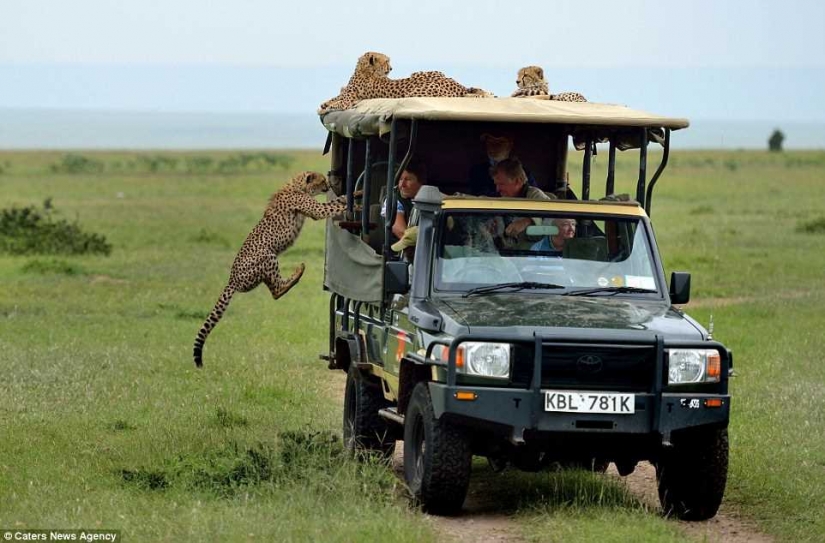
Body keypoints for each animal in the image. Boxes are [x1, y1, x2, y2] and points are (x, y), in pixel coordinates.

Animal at [193, 171, 354, 367]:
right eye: (322, 180)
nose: (328, 186)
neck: (297, 186)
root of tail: (231, 281)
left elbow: (335, 202)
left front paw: (351, 195)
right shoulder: (316, 210)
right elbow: (333, 205)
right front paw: (352, 199)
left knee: (274, 290)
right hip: (267, 255)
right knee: (277, 291)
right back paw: (297, 272)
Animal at [318, 51, 492, 114]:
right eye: (386, 61)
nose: (391, 68)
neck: (364, 70)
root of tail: (457, 84)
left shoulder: (349, 100)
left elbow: (339, 102)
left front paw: (325, 108)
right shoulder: (346, 93)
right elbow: (335, 97)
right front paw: (324, 104)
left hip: (415, 93)